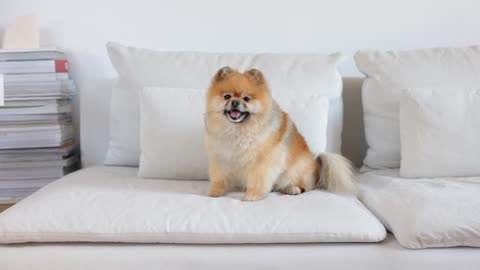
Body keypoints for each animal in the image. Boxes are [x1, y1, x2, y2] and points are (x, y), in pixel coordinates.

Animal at [203, 66, 356, 200]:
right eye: (227, 96)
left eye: (247, 99)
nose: (235, 102)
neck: (238, 130)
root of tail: (316, 164)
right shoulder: (220, 158)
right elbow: (219, 178)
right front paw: (216, 192)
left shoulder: (261, 162)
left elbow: (257, 180)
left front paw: (252, 196)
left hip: (296, 171)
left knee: (305, 186)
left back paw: (293, 189)